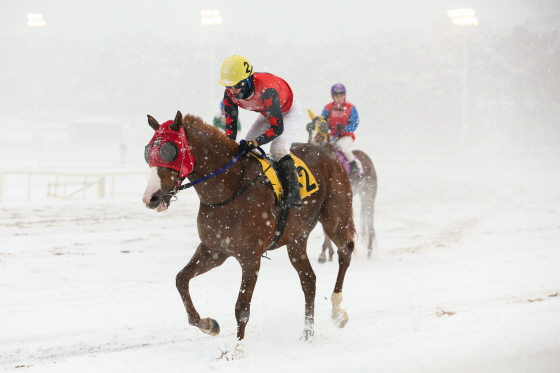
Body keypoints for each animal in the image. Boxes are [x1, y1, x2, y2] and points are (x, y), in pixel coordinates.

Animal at [143, 110, 354, 346]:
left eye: (169, 150)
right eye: (148, 151)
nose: (151, 197)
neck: (227, 189)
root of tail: (328, 152)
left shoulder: (250, 257)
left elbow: (241, 308)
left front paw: (238, 349)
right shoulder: (214, 250)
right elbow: (181, 280)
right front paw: (209, 325)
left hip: (335, 218)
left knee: (346, 251)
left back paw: (338, 311)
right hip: (297, 237)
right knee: (309, 280)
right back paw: (307, 334)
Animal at [304, 110, 378, 262]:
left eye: (323, 127)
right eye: (309, 127)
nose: (313, 141)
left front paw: (326, 253)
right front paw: (327, 252)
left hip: (369, 195)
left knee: (370, 220)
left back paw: (369, 250)